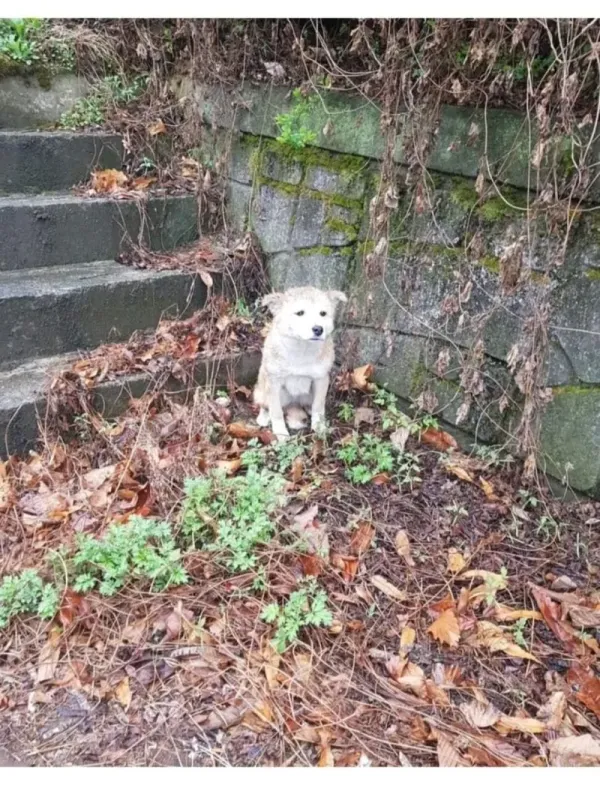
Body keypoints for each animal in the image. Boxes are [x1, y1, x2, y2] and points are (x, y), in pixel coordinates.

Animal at [253, 286, 346, 440]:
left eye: (323, 313)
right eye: (300, 313)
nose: (318, 329)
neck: (302, 349)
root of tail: (293, 404)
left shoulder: (321, 379)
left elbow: (318, 406)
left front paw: (319, 426)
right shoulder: (274, 382)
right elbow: (276, 411)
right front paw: (280, 432)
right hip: (263, 390)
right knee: (265, 405)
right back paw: (264, 417)